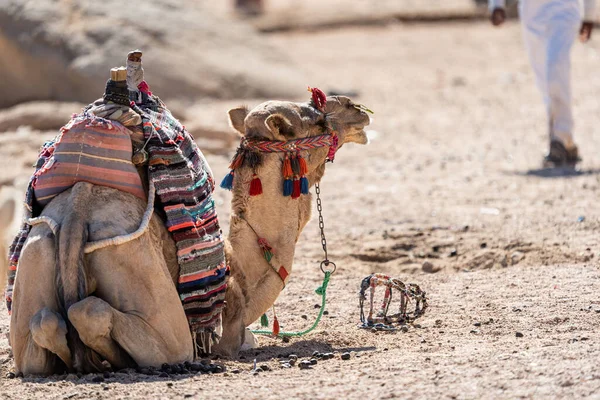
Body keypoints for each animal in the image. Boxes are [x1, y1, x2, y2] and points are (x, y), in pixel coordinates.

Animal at [10, 94, 370, 376]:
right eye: (316, 120)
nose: (356, 109)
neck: (238, 272)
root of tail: (77, 213)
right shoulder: (233, 334)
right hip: (136, 269)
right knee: (100, 317)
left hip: (38, 250)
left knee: (45, 327)